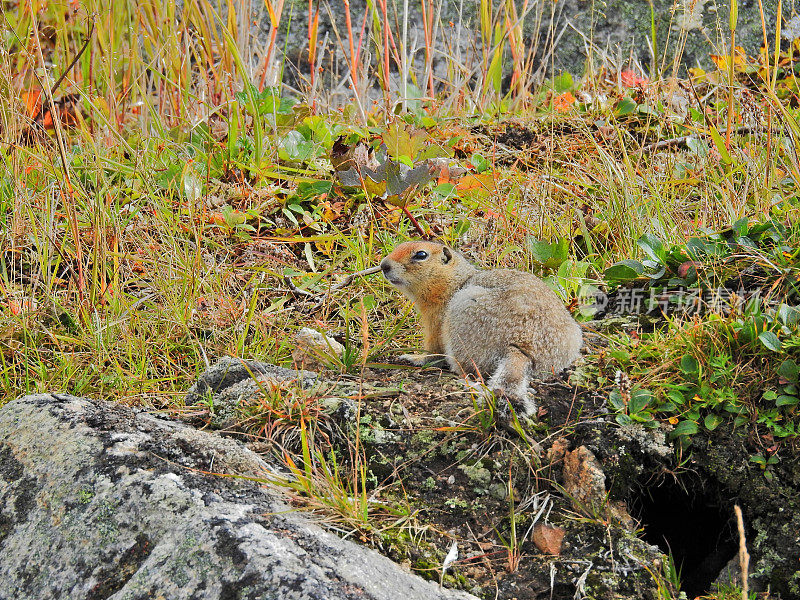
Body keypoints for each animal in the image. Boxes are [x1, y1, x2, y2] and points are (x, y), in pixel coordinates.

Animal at [382, 239, 580, 418]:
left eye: (421, 255)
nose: (384, 265)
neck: (454, 282)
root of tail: (522, 348)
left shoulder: (436, 320)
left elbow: (433, 349)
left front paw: (413, 357)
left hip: (462, 312)